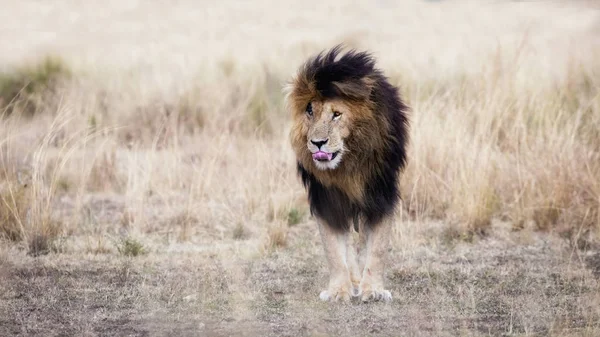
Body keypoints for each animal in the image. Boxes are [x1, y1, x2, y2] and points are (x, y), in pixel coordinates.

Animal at [284, 45, 408, 302]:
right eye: (309, 111)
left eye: (337, 114)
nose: (317, 143)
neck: (347, 165)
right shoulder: (326, 200)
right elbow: (334, 250)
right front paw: (339, 291)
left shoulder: (381, 195)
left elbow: (377, 248)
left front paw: (373, 290)